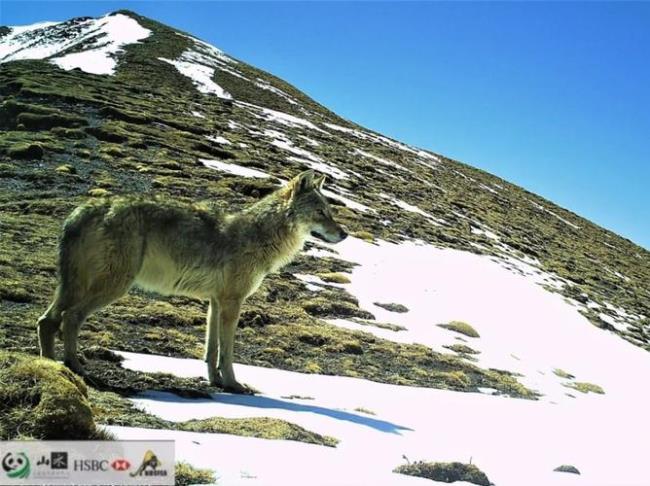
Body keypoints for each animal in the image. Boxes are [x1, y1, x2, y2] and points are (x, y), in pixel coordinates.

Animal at [37, 170, 346, 392]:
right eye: (321, 212)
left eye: (330, 211)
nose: (344, 234)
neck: (260, 235)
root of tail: (86, 208)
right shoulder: (232, 303)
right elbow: (227, 352)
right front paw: (234, 384)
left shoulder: (215, 302)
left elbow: (211, 350)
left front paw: (216, 382)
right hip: (113, 286)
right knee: (70, 317)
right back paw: (76, 367)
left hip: (78, 286)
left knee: (46, 320)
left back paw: (52, 368)